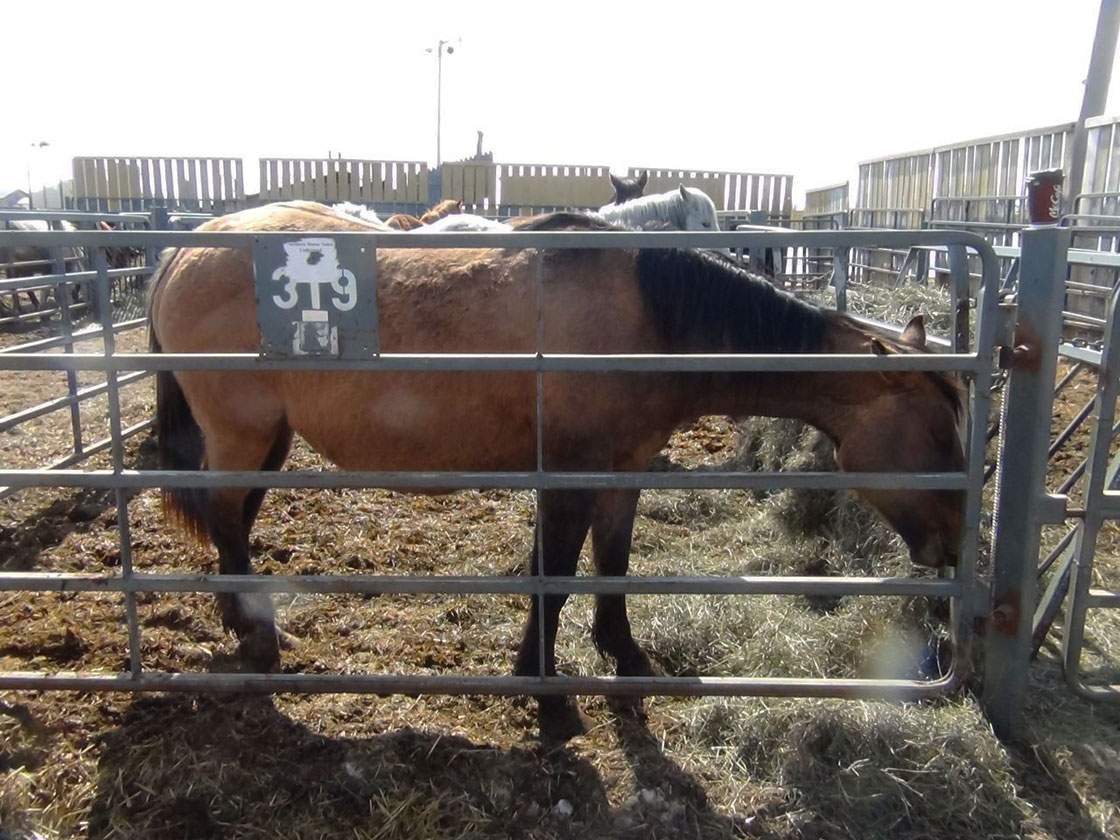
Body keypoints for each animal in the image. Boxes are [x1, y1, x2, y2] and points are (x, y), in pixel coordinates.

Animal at [148, 201, 965, 741]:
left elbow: (611, 564)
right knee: (226, 516)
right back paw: (257, 639)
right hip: (243, 433)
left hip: (270, 439)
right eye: (937, 428)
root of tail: (184, 251)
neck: (649, 322)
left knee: (235, 518)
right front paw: (543, 690)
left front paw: (624, 655)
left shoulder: (621, 470)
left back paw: (243, 616)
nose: (952, 543)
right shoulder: (569, 475)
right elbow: (559, 572)